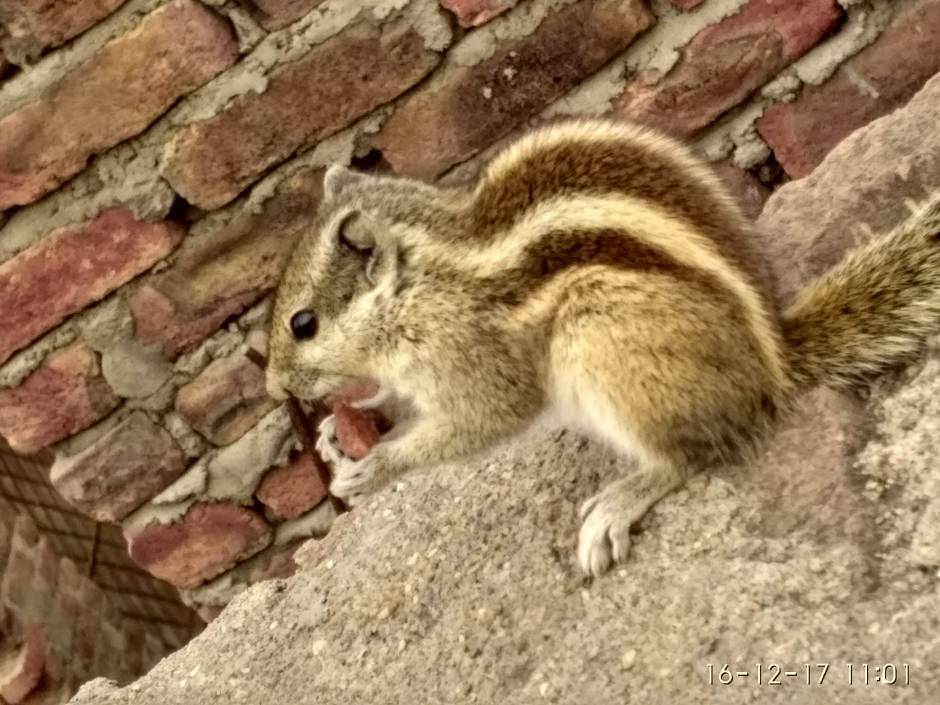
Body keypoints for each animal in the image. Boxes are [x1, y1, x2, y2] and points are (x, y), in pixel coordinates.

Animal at [265, 118, 940, 577]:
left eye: (303, 323)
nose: (274, 386)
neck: (427, 282)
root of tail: (773, 365)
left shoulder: (478, 364)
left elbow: (484, 421)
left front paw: (378, 468)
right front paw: (338, 433)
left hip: (602, 336)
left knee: (695, 454)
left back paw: (618, 505)